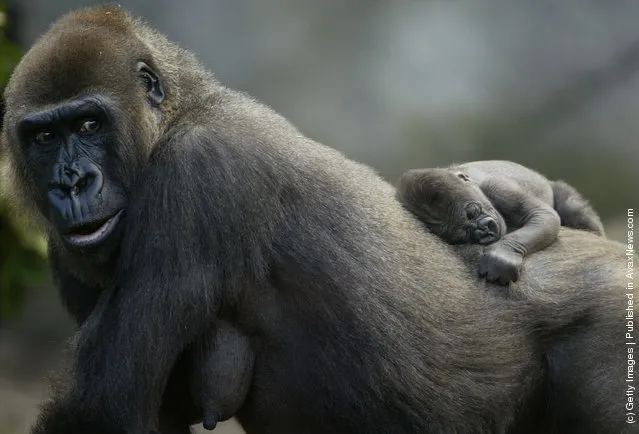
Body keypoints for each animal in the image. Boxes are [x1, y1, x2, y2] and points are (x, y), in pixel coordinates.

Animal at [400, 159, 604, 284]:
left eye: (472, 212)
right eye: (462, 234)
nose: (482, 231)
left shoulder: (497, 187)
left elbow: (543, 215)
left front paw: (502, 255)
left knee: (572, 208)